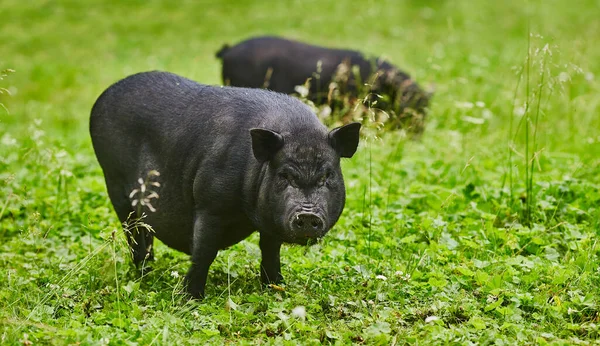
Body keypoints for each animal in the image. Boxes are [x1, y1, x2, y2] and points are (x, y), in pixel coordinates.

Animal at [89, 70, 360, 298]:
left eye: (326, 176)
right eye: (285, 175)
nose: (307, 214)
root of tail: (103, 96)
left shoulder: (270, 220)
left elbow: (270, 251)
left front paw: (276, 288)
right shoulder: (210, 204)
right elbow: (204, 251)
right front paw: (191, 298)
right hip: (115, 183)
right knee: (133, 231)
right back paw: (143, 274)